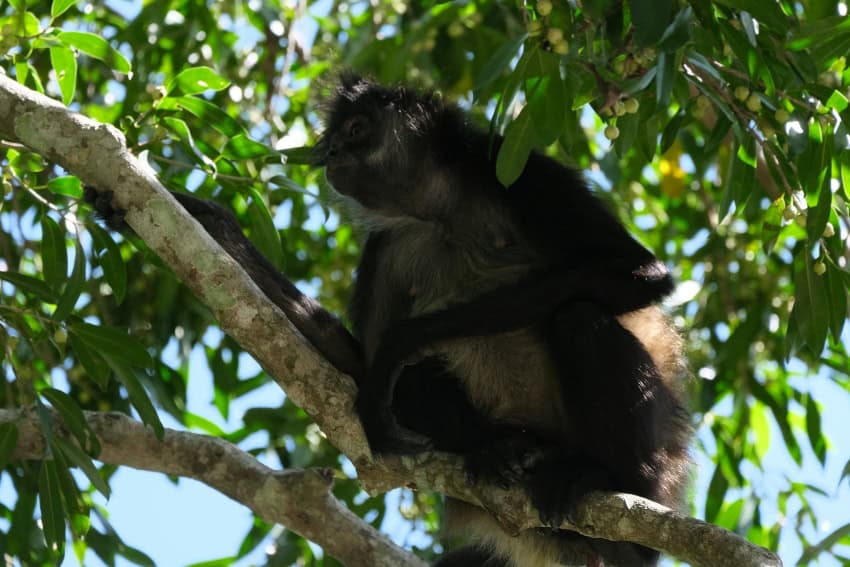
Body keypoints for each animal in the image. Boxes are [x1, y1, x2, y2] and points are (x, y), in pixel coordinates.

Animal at [86, 73, 690, 566]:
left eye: (356, 129)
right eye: (332, 137)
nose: (330, 151)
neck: (440, 210)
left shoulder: (518, 173)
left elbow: (637, 275)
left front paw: (409, 337)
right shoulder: (388, 246)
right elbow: (361, 366)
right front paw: (208, 219)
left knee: (579, 320)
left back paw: (603, 486)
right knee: (415, 383)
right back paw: (498, 447)